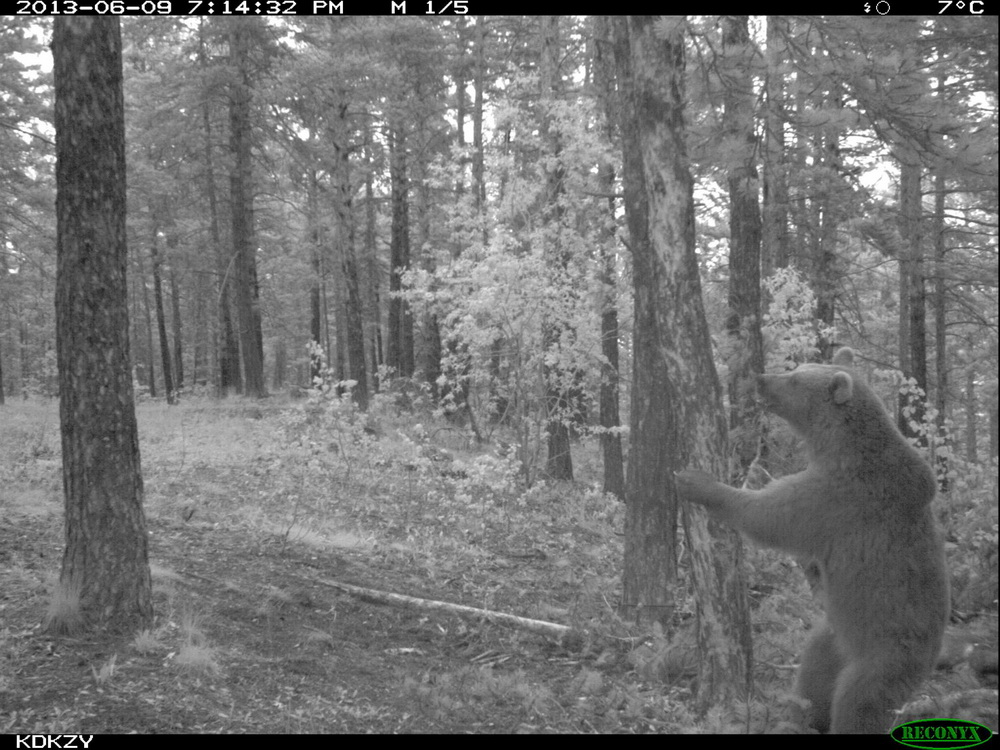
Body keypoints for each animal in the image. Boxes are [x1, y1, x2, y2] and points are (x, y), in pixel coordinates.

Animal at [676, 348, 948, 736]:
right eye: (798, 368)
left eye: (794, 379)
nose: (761, 377)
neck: (837, 448)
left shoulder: (840, 498)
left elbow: (771, 516)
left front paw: (696, 481)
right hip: (834, 633)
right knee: (812, 674)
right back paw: (795, 718)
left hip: (885, 656)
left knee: (858, 703)